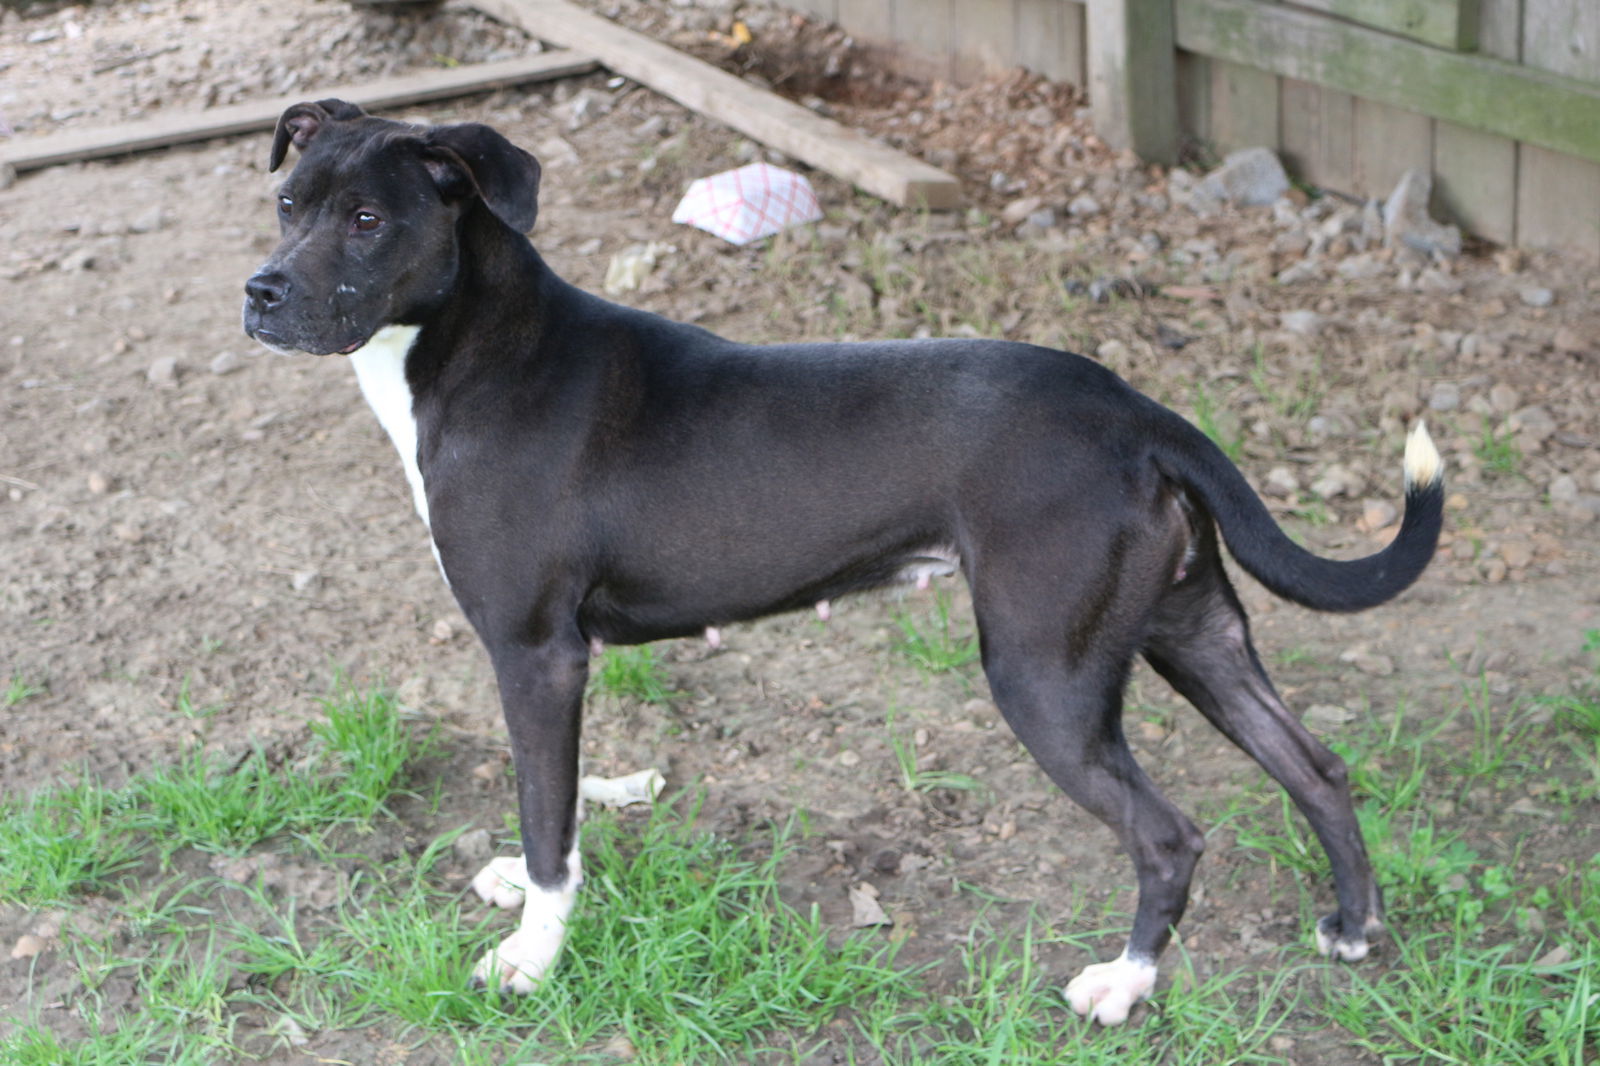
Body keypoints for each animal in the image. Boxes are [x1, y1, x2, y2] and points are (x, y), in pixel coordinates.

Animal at [240, 99, 1452, 1024]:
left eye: (367, 219)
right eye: (287, 205)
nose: (260, 291)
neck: (478, 347)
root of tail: (1135, 412)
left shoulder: (536, 654)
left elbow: (550, 825)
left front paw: (532, 958)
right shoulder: (552, 664)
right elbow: (559, 806)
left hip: (1045, 675)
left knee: (1169, 834)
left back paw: (1125, 983)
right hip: (1190, 633)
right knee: (1315, 767)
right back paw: (1353, 926)